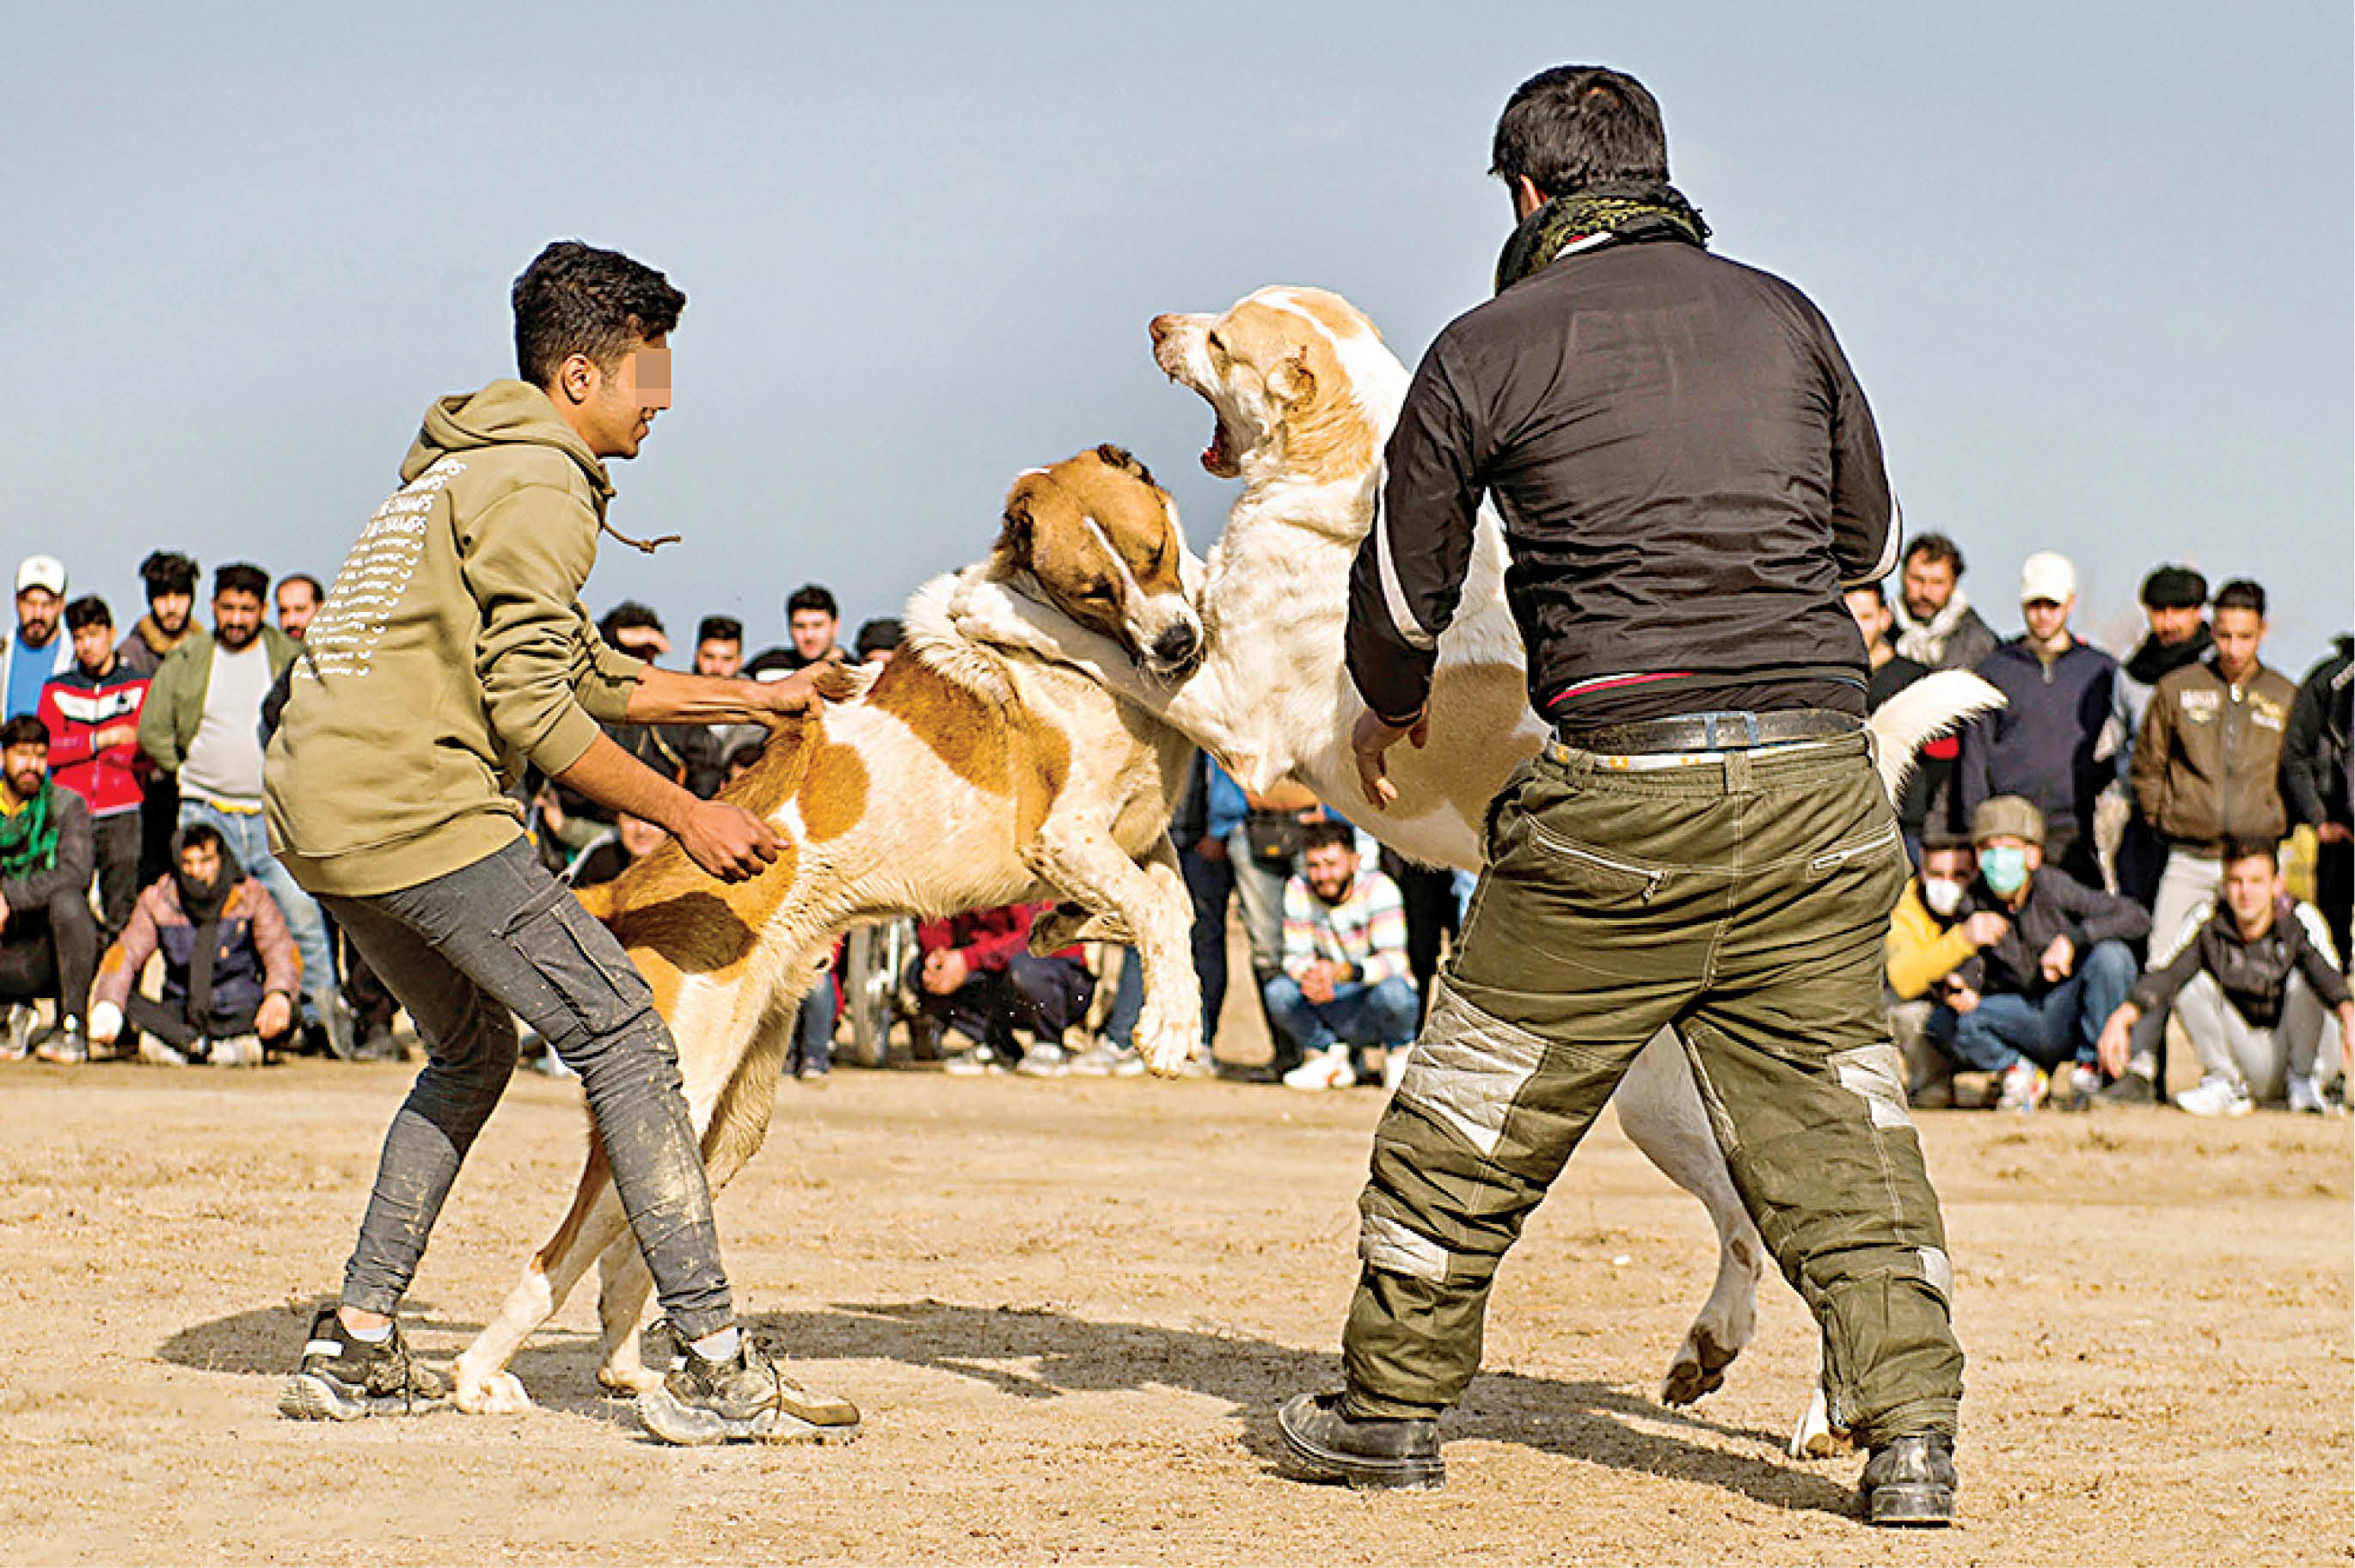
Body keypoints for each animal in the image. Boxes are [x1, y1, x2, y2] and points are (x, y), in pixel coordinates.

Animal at [445, 444, 1215, 1412]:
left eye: (1156, 552)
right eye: (1094, 590)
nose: (1179, 645)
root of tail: (622, 884)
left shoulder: (1141, 836)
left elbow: (1166, 906)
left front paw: (1068, 933)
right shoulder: (1061, 833)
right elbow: (1151, 910)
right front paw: (1168, 1026)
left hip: (729, 1117)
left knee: (631, 1244)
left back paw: (629, 1369)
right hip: (680, 1092)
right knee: (557, 1255)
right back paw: (477, 1377)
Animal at [947, 284, 1996, 1450]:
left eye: (1222, 338)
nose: (1159, 326)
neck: (1339, 482)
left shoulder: (1232, 714)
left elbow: (1108, 646)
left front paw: (990, 605)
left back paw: (1825, 1411)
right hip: (1666, 1106)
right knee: (1754, 1230)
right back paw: (1711, 1352)